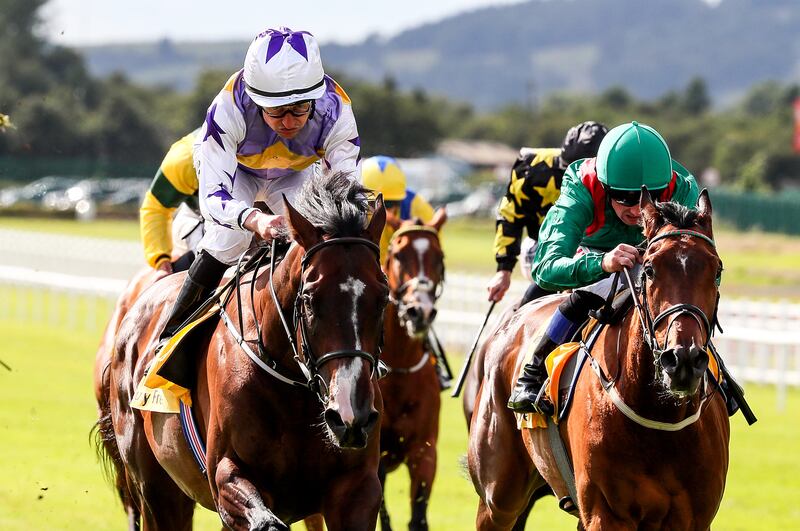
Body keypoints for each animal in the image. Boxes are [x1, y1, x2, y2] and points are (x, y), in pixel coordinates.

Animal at [95, 174, 390, 528]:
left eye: (383, 297)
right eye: (308, 299)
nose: (350, 414)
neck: (295, 391)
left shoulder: (358, 487)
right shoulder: (227, 475)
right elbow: (265, 519)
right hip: (156, 489)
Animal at [466, 191, 728, 531]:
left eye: (717, 270)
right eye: (649, 269)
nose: (682, 358)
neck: (660, 418)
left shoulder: (693, 518)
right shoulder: (606, 514)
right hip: (497, 496)